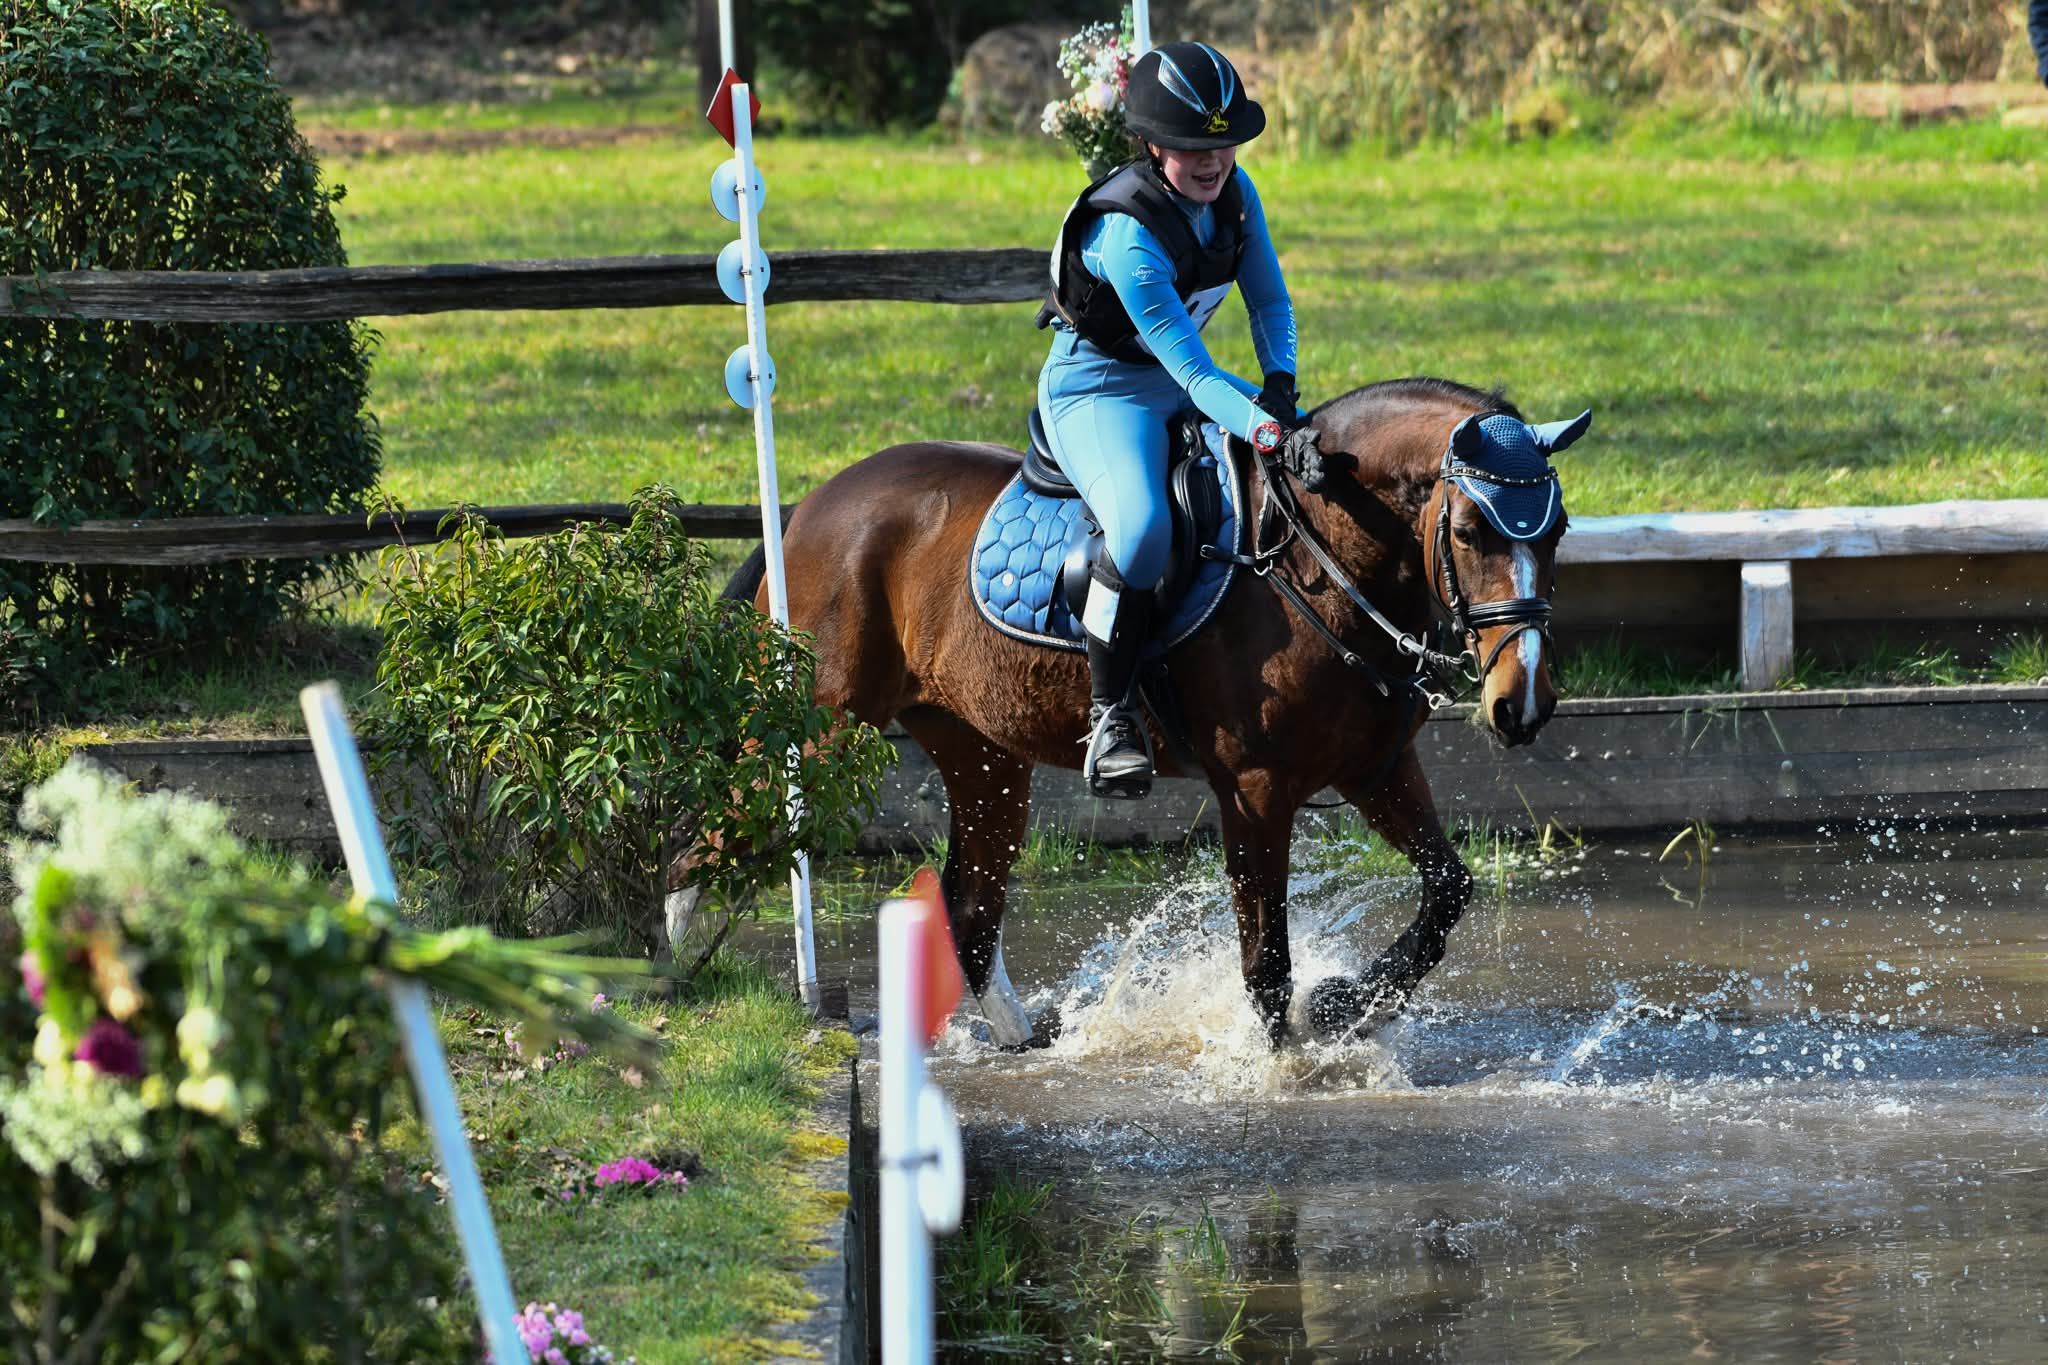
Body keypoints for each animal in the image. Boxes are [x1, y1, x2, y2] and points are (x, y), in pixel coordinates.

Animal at [722, 376, 1585, 1046]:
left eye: (1560, 531)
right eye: (1469, 530)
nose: (1521, 703)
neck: (1316, 562)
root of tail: (809, 507)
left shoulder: (1377, 768)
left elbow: (1449, 888)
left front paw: (1347, 1004)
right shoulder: (1255, 791)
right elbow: (1267, 963)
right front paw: (1283, 1065)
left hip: (981, 751)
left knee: (971, 901)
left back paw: (1023, 1040)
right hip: (819, 737)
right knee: (720, 832)